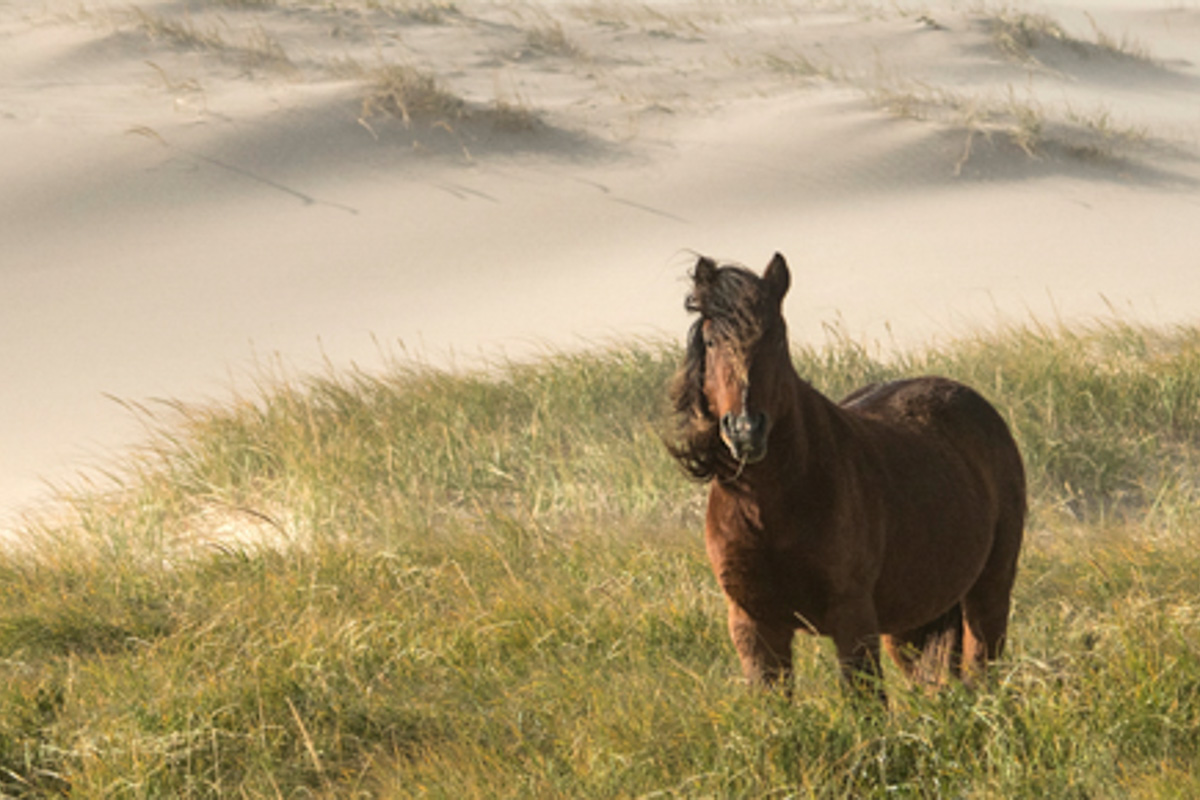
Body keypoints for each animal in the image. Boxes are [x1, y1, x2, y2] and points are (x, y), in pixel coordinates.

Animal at [667, 251, 1022, 700]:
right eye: (711, 341)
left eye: (777, 338)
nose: (746, 430)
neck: (771, 509)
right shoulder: (755, 624)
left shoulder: (851, 618)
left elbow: (866, 704)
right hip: (911, 621)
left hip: (988, 590)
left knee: (982, 666)